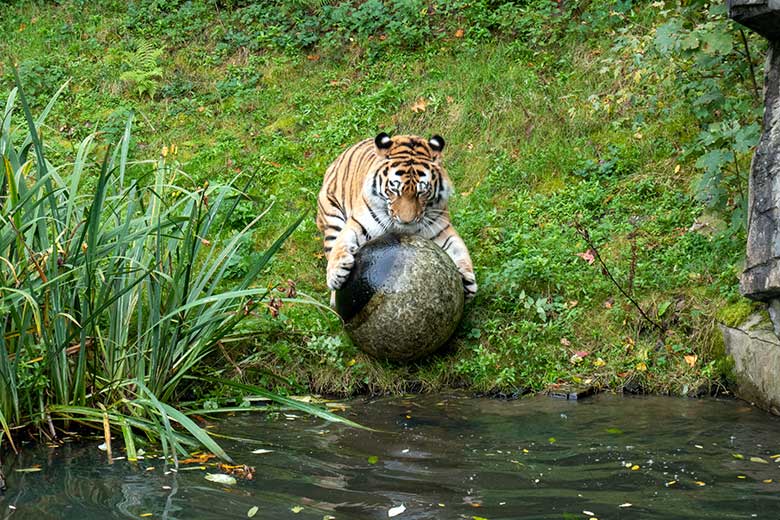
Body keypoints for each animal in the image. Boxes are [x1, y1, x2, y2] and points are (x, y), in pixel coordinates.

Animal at [316, 132, 476, 302]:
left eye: (422, 192)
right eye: (394, 189)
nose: (406, 220)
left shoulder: (442, 229)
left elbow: (459, 249)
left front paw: (467, 280)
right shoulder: (358, 223)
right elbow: (341, 243)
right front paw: (336, 273)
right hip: (331, 218)